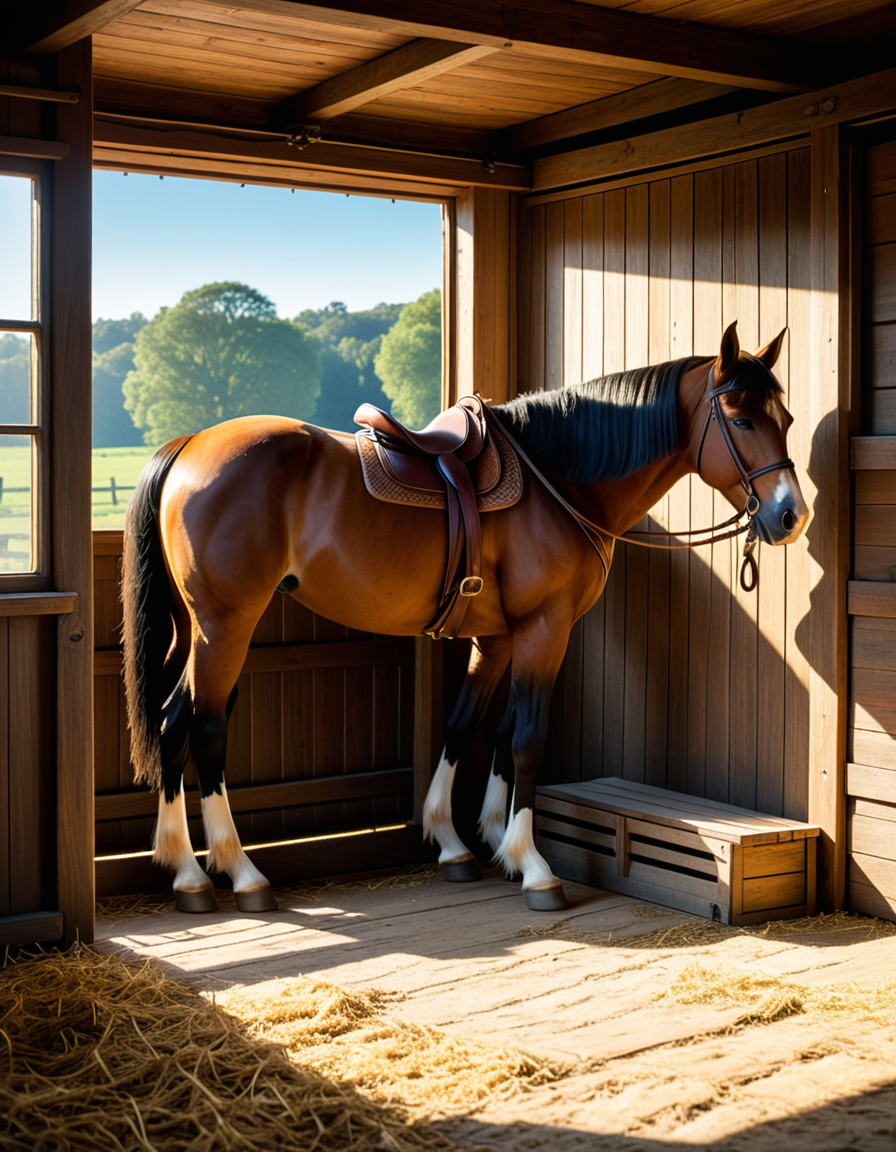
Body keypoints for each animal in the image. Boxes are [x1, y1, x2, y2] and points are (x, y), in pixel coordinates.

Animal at [121, 320, 808, 914]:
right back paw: (239, 871)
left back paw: (186, 873)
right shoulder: (545, 628)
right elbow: (527, 737)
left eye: (787, 418)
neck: (559, 478)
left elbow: (475, 728)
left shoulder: (500, 637)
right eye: (741, 418)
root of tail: (190, 446)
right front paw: (532, 865)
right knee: (204, 727)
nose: (790, 516)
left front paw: (469, 843)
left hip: (195, 630)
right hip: (225, 627)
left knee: (171, 721)